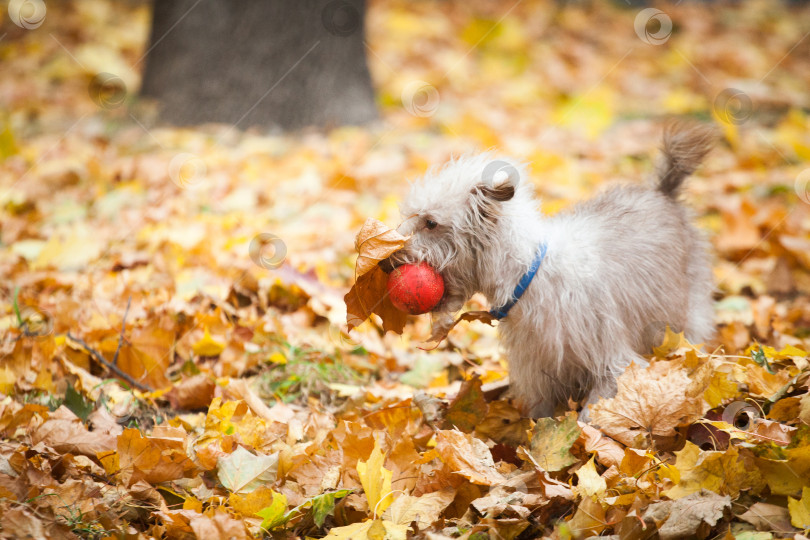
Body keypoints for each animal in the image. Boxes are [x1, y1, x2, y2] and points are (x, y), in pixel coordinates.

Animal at [392, 124, 712, 420]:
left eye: (430, 223)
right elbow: (540, 418)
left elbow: (589, 419)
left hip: (686, 320)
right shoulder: (538, 375)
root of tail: (663, 192)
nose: (387, 262)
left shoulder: (612, 365)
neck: (529, 274)